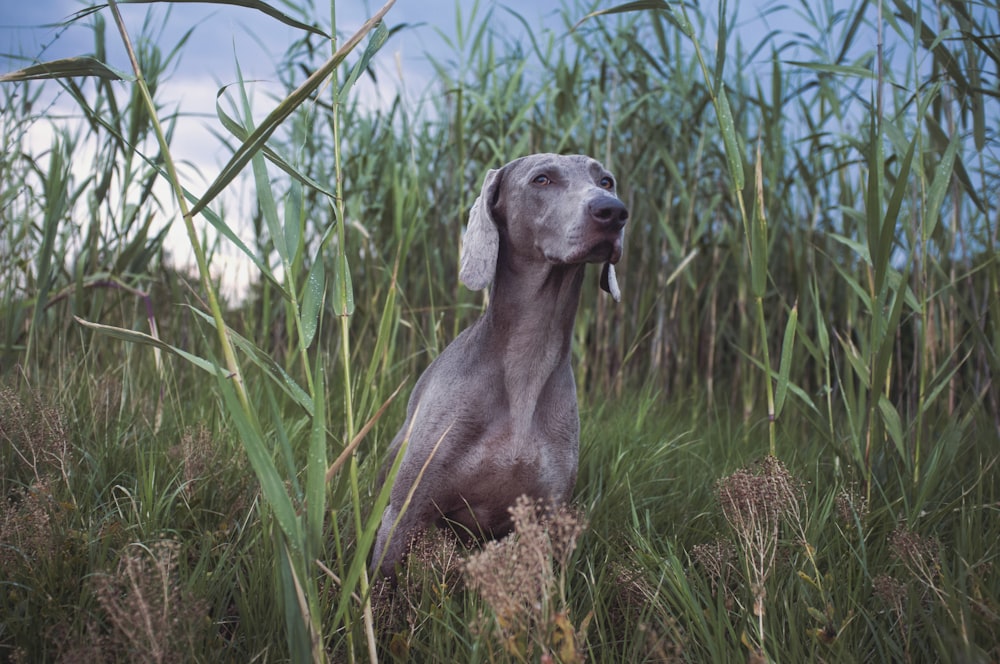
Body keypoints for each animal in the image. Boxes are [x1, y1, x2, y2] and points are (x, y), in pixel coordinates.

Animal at [372, 154, 628, 576]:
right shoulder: (405, 513)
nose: (614, 211)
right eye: (541, 179)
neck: (528, 361)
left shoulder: (544, 518)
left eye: (606, 180)